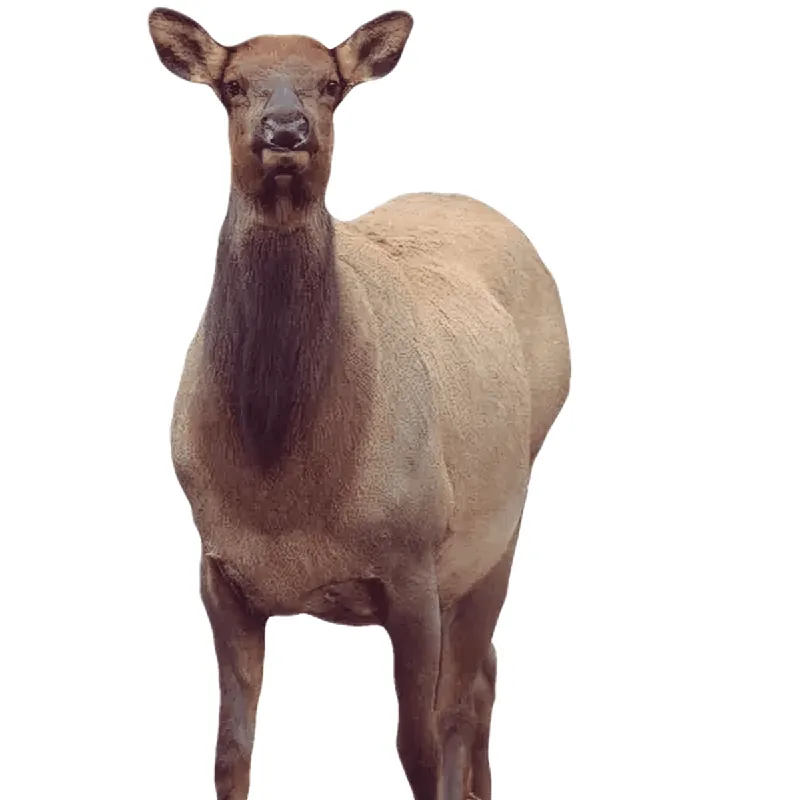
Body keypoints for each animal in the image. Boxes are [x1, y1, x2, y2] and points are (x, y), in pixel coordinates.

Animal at [147, 7, 570, 800]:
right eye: (233, 84)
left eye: (331, 85)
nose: (286, 130)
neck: (283, 490)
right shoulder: (218, 571)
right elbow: (229, 753)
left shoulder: (413, 566)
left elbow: (418, 744)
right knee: (487, 674)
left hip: (497, 531)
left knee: (464, 699)